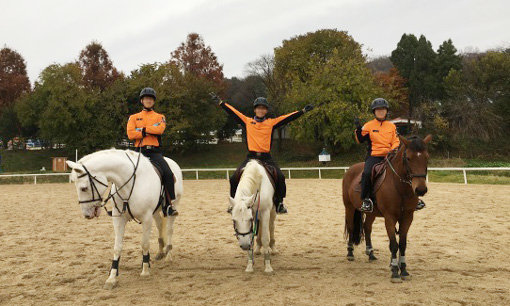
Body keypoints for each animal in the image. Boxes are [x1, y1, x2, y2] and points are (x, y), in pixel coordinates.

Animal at [64, 148, 182, 290]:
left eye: (83, 188)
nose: (87, 215)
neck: (130, 183)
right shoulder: (119, 219)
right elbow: (117, 247)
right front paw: (112, 278)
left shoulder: (146, 218)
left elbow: (144, 243)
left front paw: (145, 270)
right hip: (155, 212)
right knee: (160, 225)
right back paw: (160, 252)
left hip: (173, 207)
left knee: (169, 229)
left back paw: (168, 255)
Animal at [342, 134, 430, 282]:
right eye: (408, 158)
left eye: (427, 157)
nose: (421, 189)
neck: (400, 186)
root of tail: (351, 169)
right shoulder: (390, 217)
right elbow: (393, 244)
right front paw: (394, 270)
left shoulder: (407, 217)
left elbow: (402, 244)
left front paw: (403, 269)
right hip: (349, 207)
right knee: (351, 227)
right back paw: (349, 253)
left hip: (371, 213)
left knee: (367, 227)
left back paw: (370, 253)